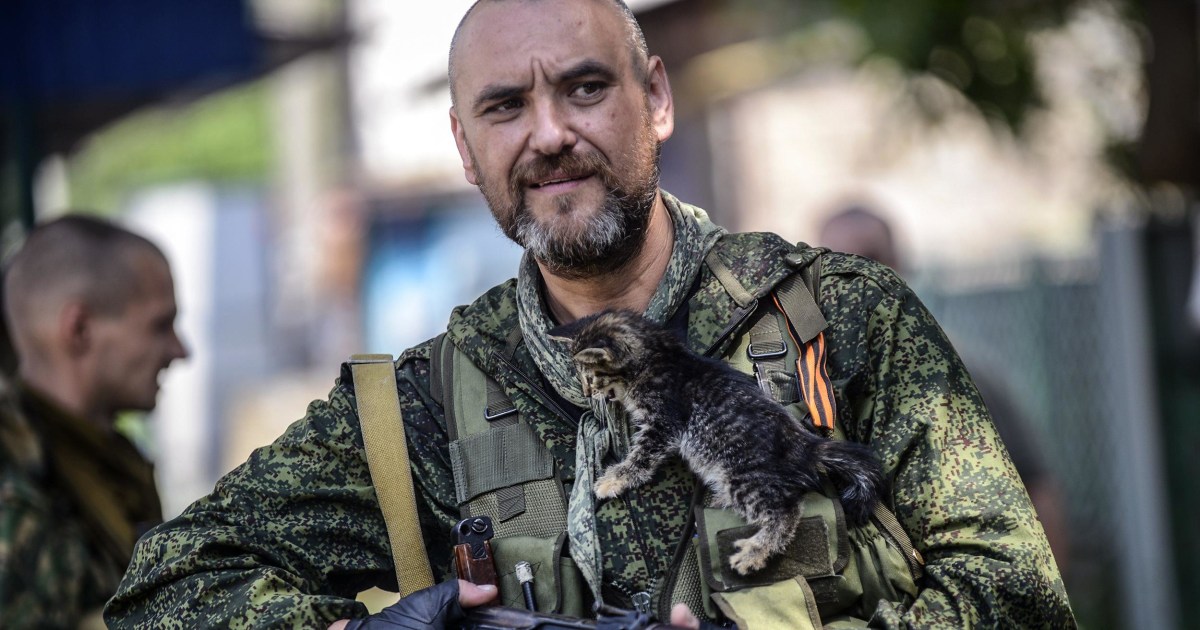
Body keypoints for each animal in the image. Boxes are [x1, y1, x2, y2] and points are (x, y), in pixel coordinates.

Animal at [549, 307, 888, 573]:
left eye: (590, 376)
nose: (587, 391)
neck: (657, 356)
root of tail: (806, 445)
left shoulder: (663, 423)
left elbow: (641, 457)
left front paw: (614, 479)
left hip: (743, 475)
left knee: (786, 512)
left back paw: (755, 552)